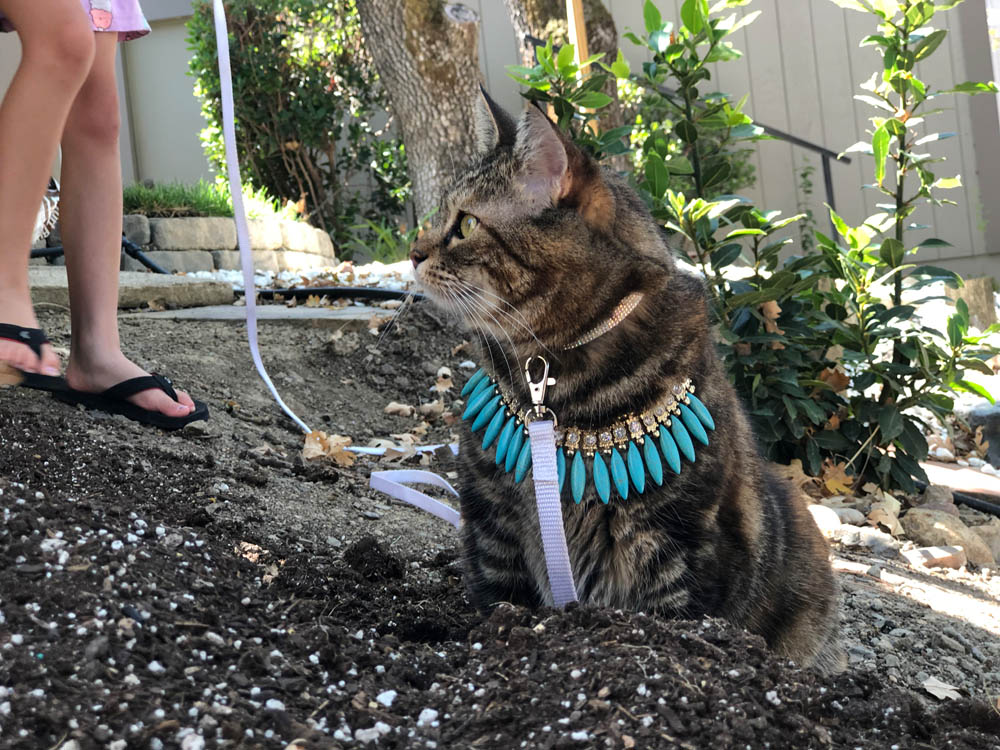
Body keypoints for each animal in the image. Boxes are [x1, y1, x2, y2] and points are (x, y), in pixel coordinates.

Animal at [409, 90, 842, 673]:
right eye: (440, 216)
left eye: (468, 224)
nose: (413, 252)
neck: (553, 382)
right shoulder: (492, 522)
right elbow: (499, 603)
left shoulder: (679, 545)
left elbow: (676, 624)